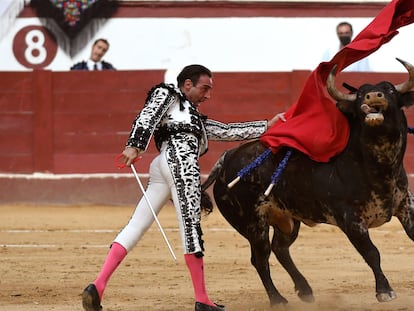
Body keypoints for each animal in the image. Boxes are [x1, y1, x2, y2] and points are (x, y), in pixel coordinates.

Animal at [202, 59, 414, 308]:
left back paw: (305, 290)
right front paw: (385, 291)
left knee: (280, 249)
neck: (379, 166)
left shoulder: (406, 205)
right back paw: (278, 299)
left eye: (390, 90)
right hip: (253, 224)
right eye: (361, 94)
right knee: (260, 258)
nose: (373, 96)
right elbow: (372, 253)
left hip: (287, 220)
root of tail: (227, 157)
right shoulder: (351, 220)